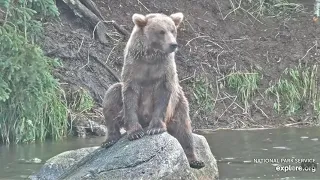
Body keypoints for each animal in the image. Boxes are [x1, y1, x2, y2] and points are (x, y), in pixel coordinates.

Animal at [100, 12, 205, 169]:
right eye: (161, 32)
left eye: (173, 30)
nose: (173, 44)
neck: (151, 57)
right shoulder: (134, 67)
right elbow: (129, 95)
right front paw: (135, 132)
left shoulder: (164, 71)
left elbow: (162, 96)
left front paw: (155, 128)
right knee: (112, 94)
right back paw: (110, 139)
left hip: (180, 104)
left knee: (184, 130)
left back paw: (195, 160)